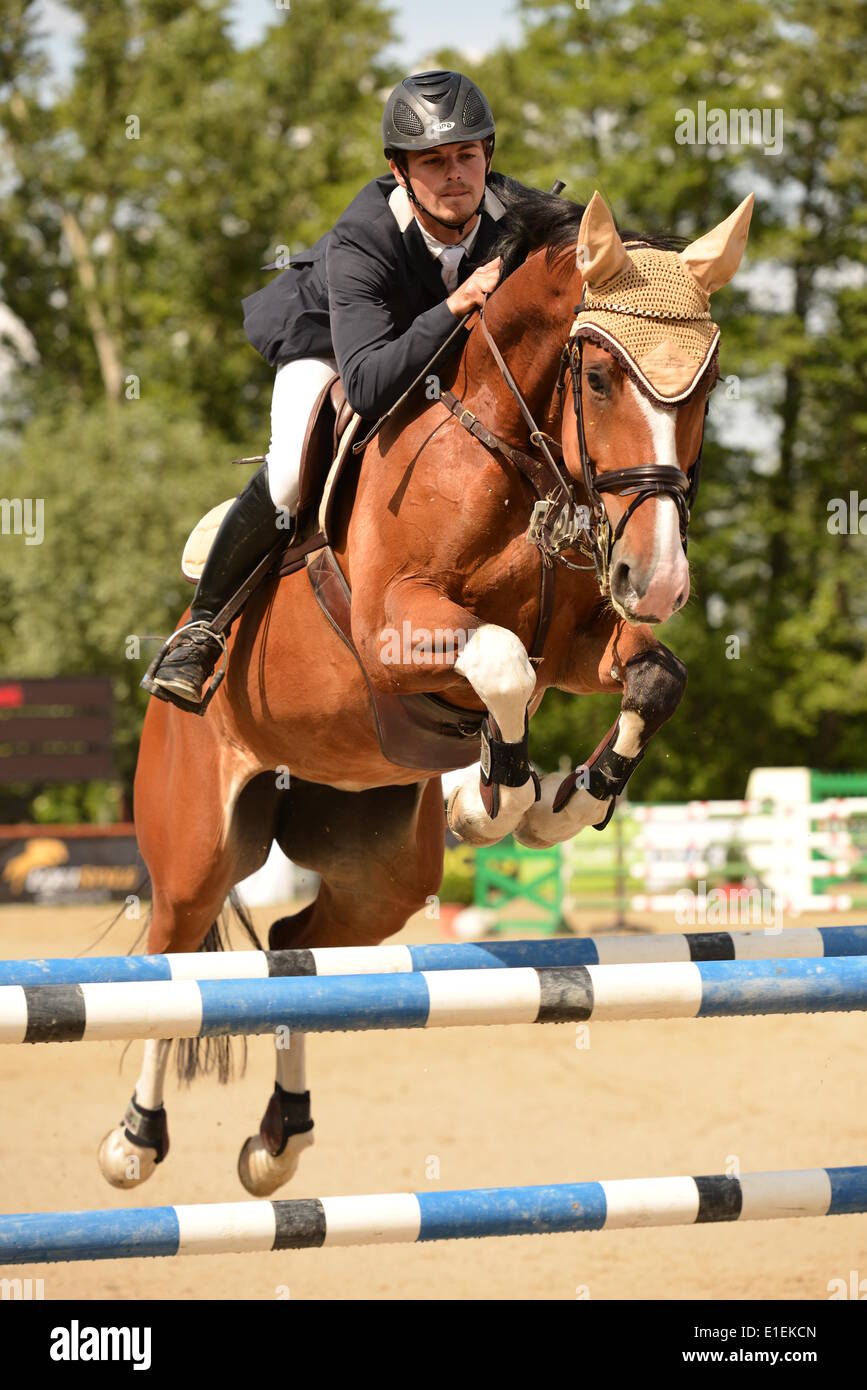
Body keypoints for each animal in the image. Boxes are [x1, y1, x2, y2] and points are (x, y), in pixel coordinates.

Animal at [100, 187, 750, 1195]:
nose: (659, 580)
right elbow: (499, 664)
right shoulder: (392, 634)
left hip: (381, 876)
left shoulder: (577, 645)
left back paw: (279, 1139)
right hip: (196, 848)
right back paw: (135, 1140)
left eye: (709, 387)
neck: (505, 447)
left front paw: (563, 803)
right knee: (173, 960)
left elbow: (651, 675)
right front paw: (499, 798)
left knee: (297, 947)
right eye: (600, 378)